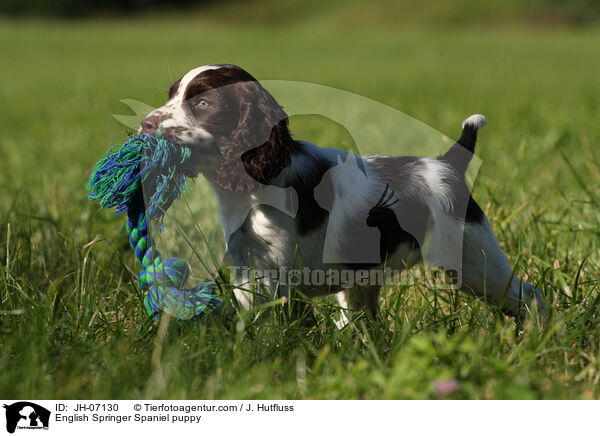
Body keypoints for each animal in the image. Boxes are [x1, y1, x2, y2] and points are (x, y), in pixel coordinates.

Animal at [138, 64, 548, 324]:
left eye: (203, 103)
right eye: (172, 95)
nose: (146, 124)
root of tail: (448, 164)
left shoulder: (281, 273)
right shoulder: (246, 265)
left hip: (473, 259)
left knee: (529, 295)